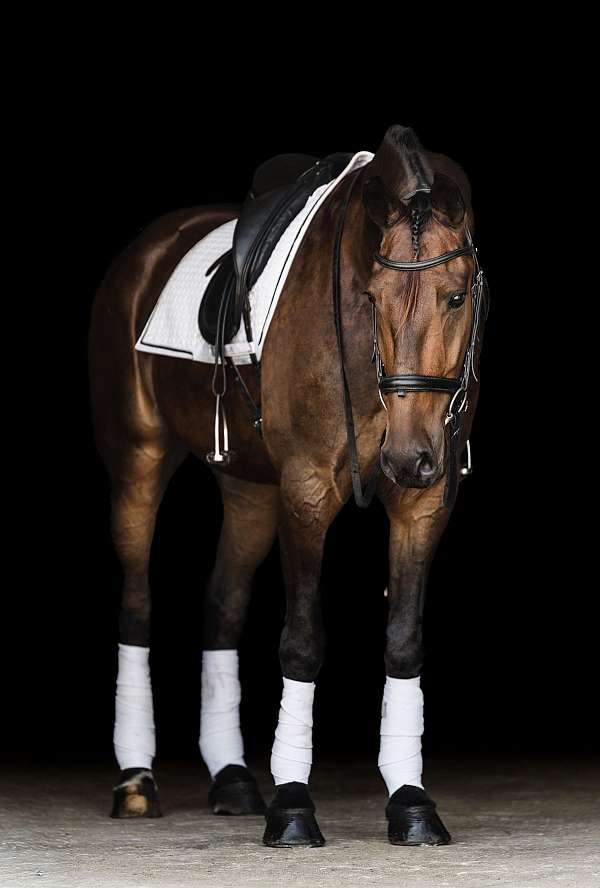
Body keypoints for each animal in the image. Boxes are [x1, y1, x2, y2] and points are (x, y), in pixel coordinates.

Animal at [88, 124, 488, 847]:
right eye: (372, 299)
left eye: (455, 295)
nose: (408, 454)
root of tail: (150, 244)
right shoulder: (306, 491)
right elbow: (301, 643)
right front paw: (295, 806)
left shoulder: (423, 503)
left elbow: (404, 642)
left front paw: (412, 802)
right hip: (137, 461)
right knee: (136, 605)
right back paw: (136, 779)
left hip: (250, 490)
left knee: (221, 605)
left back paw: (232, 779)